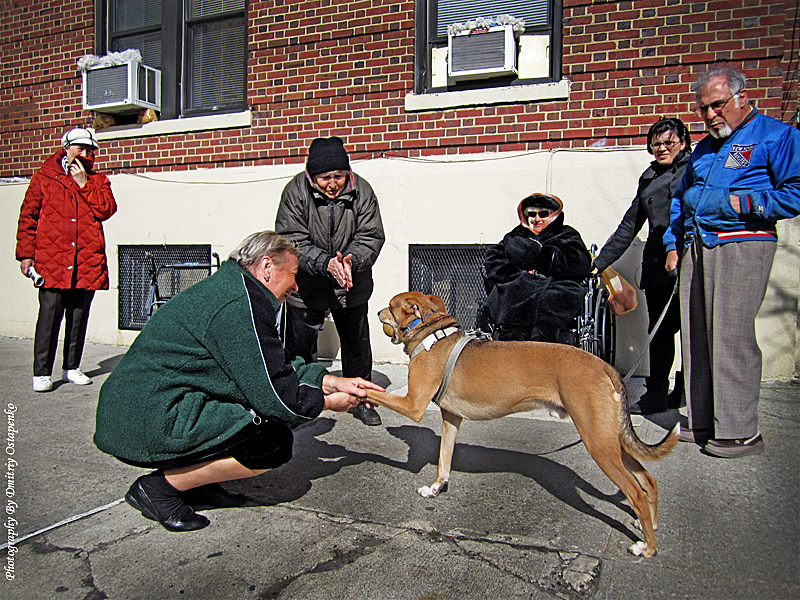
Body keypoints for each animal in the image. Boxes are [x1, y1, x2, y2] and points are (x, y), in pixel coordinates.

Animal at [366, 290, 680, 556]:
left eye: (392, 306)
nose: (378, 311)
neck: (433, 334)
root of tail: (604, 366)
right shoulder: (451, 420)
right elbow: (444, 462)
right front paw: (435, 488)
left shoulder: (413, 404)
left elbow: (374, 392)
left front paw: (358, 392)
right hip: (611, 438)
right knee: (648, 481)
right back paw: (648, 525)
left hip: (599, 444)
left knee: (636, 493)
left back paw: (647, 547)